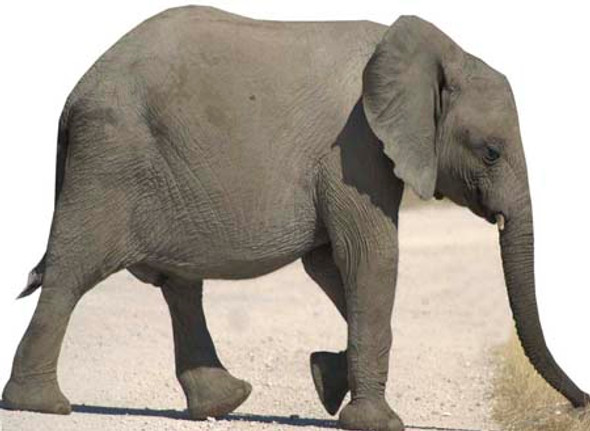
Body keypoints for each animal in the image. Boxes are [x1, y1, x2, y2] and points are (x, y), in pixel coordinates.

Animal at [2, 5, 588, 431]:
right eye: (491, 152)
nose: (578, 405)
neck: (433, 52)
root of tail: (73, 96)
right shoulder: (355, 149)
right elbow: (370, 256)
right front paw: (375, 421)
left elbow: (331, 265)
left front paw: (325, 378)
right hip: (110, 161)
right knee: (74, 272)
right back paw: (41, 405)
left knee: (179, 285)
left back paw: (223, 402)